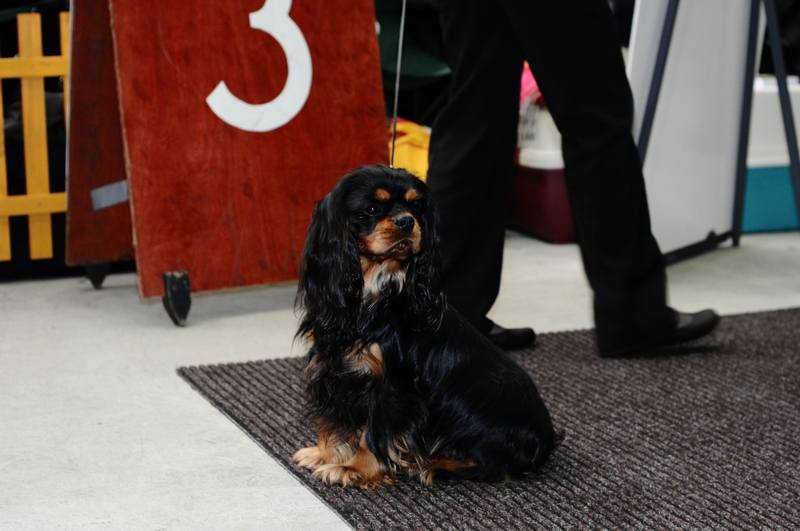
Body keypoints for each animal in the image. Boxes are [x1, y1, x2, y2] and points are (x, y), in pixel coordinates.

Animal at [292, 165, 556, 488]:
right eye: (371, 209)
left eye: (416, 208)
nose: (407, 221)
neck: (372, 290)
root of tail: (545, 442)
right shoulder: (332, 367)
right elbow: (331, 420)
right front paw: (325, 455)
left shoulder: (392, 384)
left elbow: (373, 432)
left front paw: (355, 469)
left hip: (465, 407)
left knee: (492, 464)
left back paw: (434, 463)